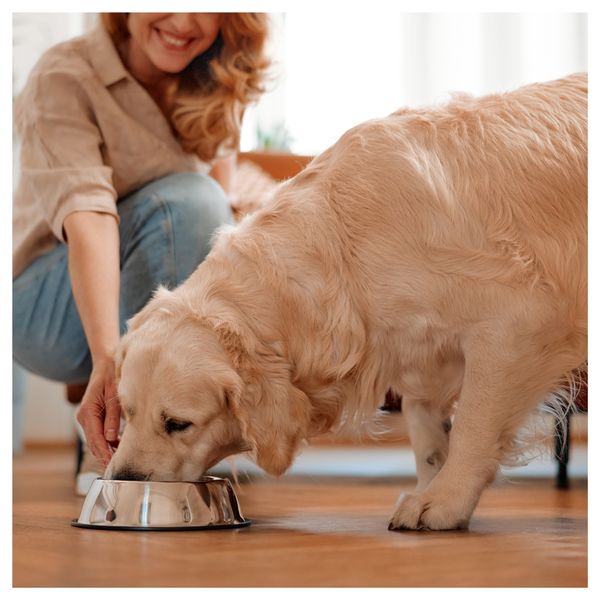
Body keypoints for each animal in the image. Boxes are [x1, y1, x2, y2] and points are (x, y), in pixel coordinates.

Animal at [106, 74, 584, 528]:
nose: (122, 482)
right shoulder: (424, 350)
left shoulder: (515, 323)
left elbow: (473, 422)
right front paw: (430, 486)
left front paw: (443, 502)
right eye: (126, 412)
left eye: (177, 424)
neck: (343, 251)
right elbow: (426, 427)